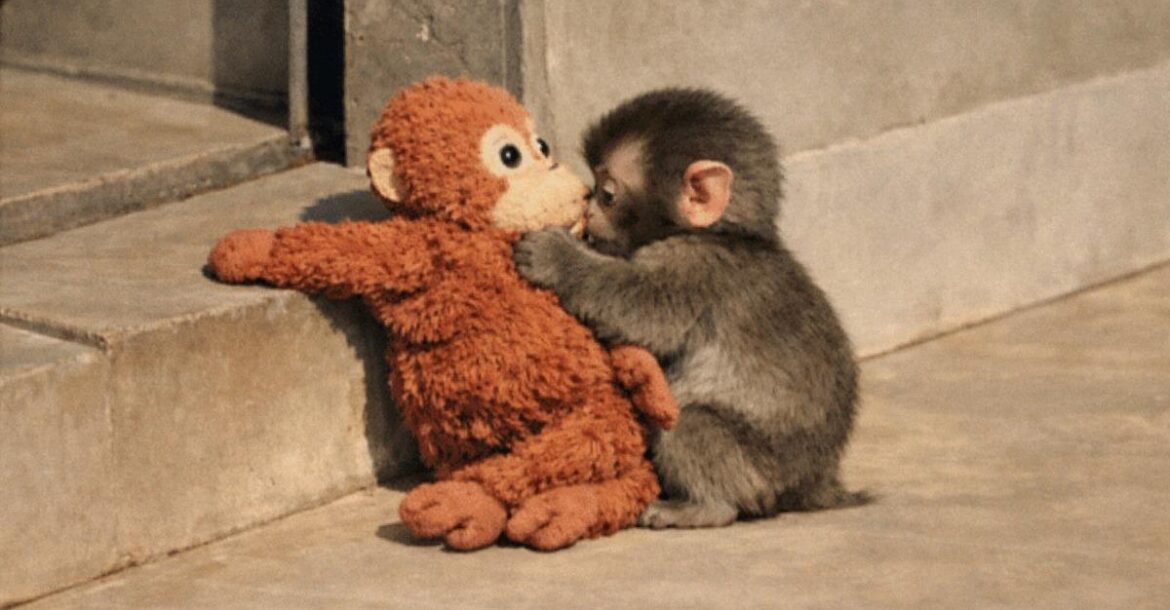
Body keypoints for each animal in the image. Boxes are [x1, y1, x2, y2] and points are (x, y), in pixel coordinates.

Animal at [514, 88, 869, 529]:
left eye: (607, 194)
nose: (587, 209)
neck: (723, 234)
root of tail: (813, 485)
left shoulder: (691, 267)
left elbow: (636, 308)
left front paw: (557, 256)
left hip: (756, 473)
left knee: (690, 420)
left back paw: (704, 507)